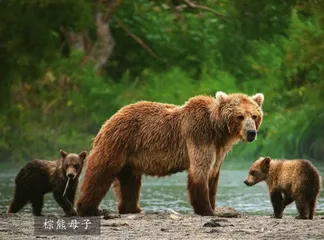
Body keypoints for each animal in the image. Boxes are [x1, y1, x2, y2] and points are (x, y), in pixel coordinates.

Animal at [77, 91, 264, 216]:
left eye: (254, 115)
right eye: (240, 116)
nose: (251, 133)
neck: (217, 130)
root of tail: (111, 118)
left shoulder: (219, 149)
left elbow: (213, 174)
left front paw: (213, 205)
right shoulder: (199, 136)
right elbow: (200, 172)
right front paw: (207, 210)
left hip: (130, 157)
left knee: (130, 182)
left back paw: (133, 209)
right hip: (118, 142)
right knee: (100, 173)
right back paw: (89, 209)